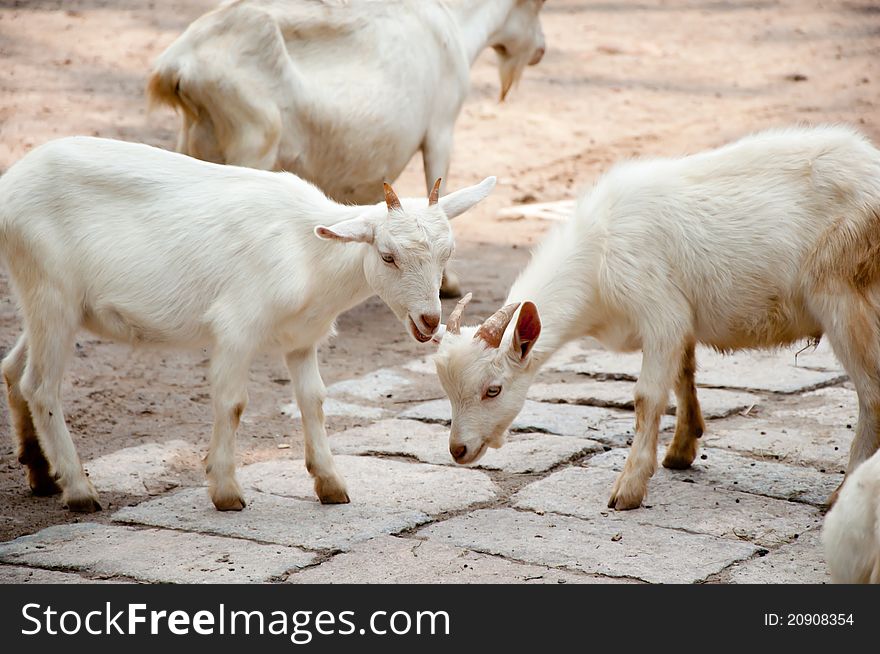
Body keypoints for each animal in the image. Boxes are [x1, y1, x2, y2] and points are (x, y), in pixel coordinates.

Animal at [0, 138, 496, 516]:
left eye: (448, 253)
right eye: (388, 256)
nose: (429, 320)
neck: (309, 254)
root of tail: (10, 184)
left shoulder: (301, 338)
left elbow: (313, 400)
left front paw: (330, 484)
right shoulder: (236, 327)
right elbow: (233, 402)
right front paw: (225, 491)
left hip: (48, 301)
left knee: (13, 369)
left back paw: (40, 472)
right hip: (51, 294)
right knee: (41, 386)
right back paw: (79, 490)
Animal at [148, 0, 548, 294]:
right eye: (536, 5)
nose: (541, 49)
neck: (452, 19)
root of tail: (178, 66)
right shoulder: (442, 128)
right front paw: (448, 284)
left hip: (195, 141)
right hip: (253, 142)